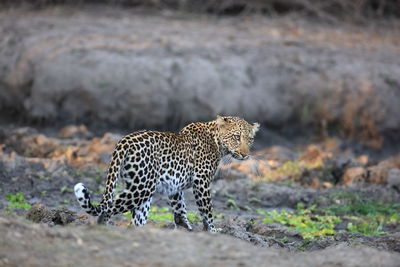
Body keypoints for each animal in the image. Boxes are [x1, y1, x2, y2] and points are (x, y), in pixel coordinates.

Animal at [74, 116, 260, 233]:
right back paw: (101, 228)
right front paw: (213, 230)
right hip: (141, 188)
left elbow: (180, 207)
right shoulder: (201, 181)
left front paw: (184, 226)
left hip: (141, 189)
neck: (218, 143)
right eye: (236, 137)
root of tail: (124, 141)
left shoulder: (174, 186)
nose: (245, 155)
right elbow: (207, 210)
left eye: (250, 139)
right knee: (108, 209)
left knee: (135, 219)